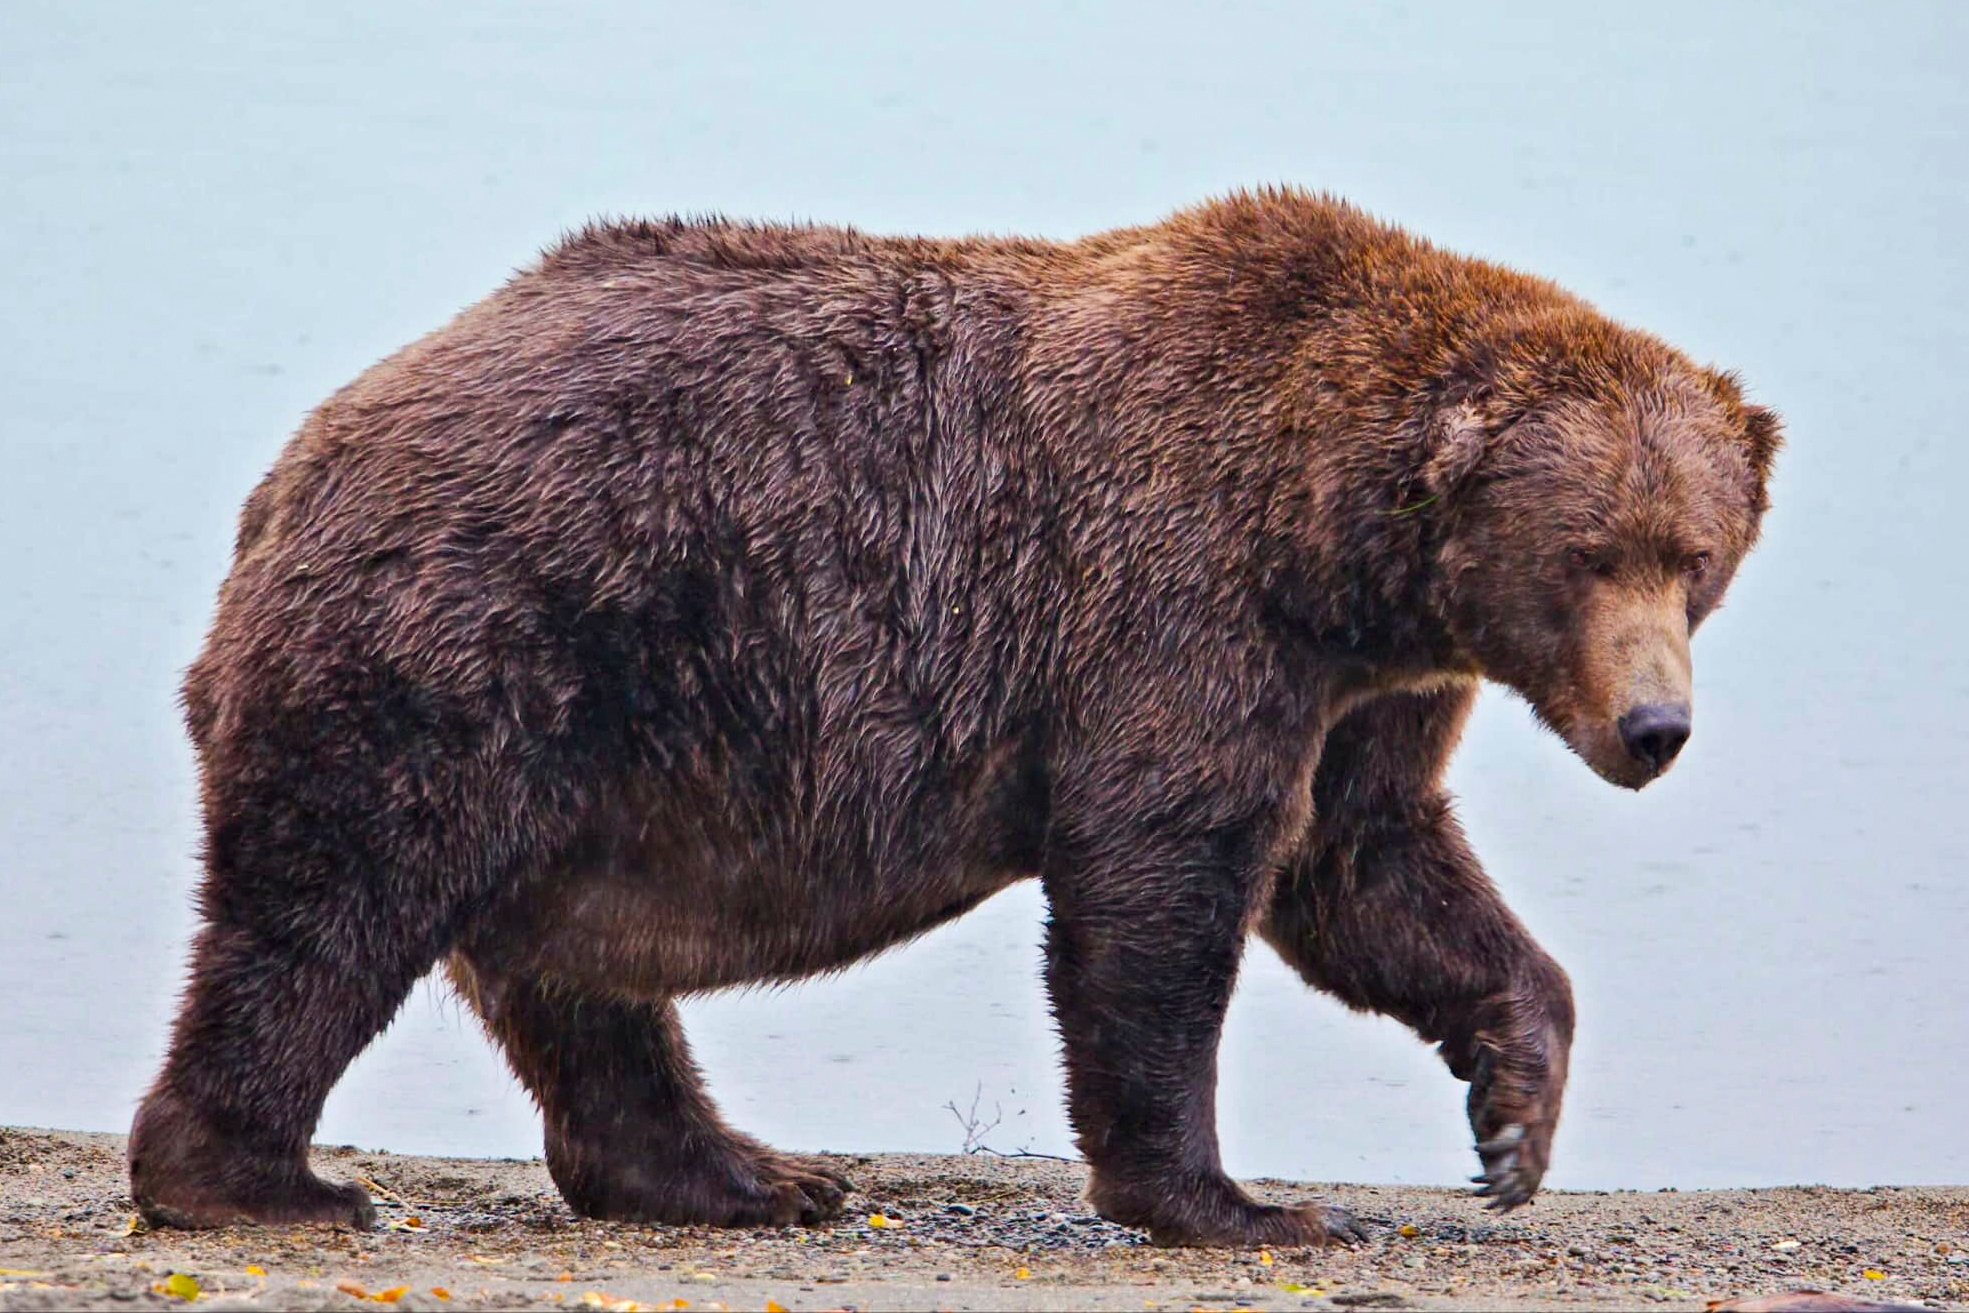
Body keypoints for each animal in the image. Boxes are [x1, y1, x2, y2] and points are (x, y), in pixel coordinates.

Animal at [130, 185, 1779, 1244]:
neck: (1329, 538)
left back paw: (740, 1176)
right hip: (479, 638)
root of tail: (296, 464)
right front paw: (1235, 1201)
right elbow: (1163, 880)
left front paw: (1511, 1116)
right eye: (1588, 553)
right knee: (334, 905)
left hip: (586, 745)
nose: (1653, 728)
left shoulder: (1368, 685)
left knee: (574, 980)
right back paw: (262, 1178)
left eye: (1694, 556)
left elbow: (1367, 866)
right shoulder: (1175, 601)